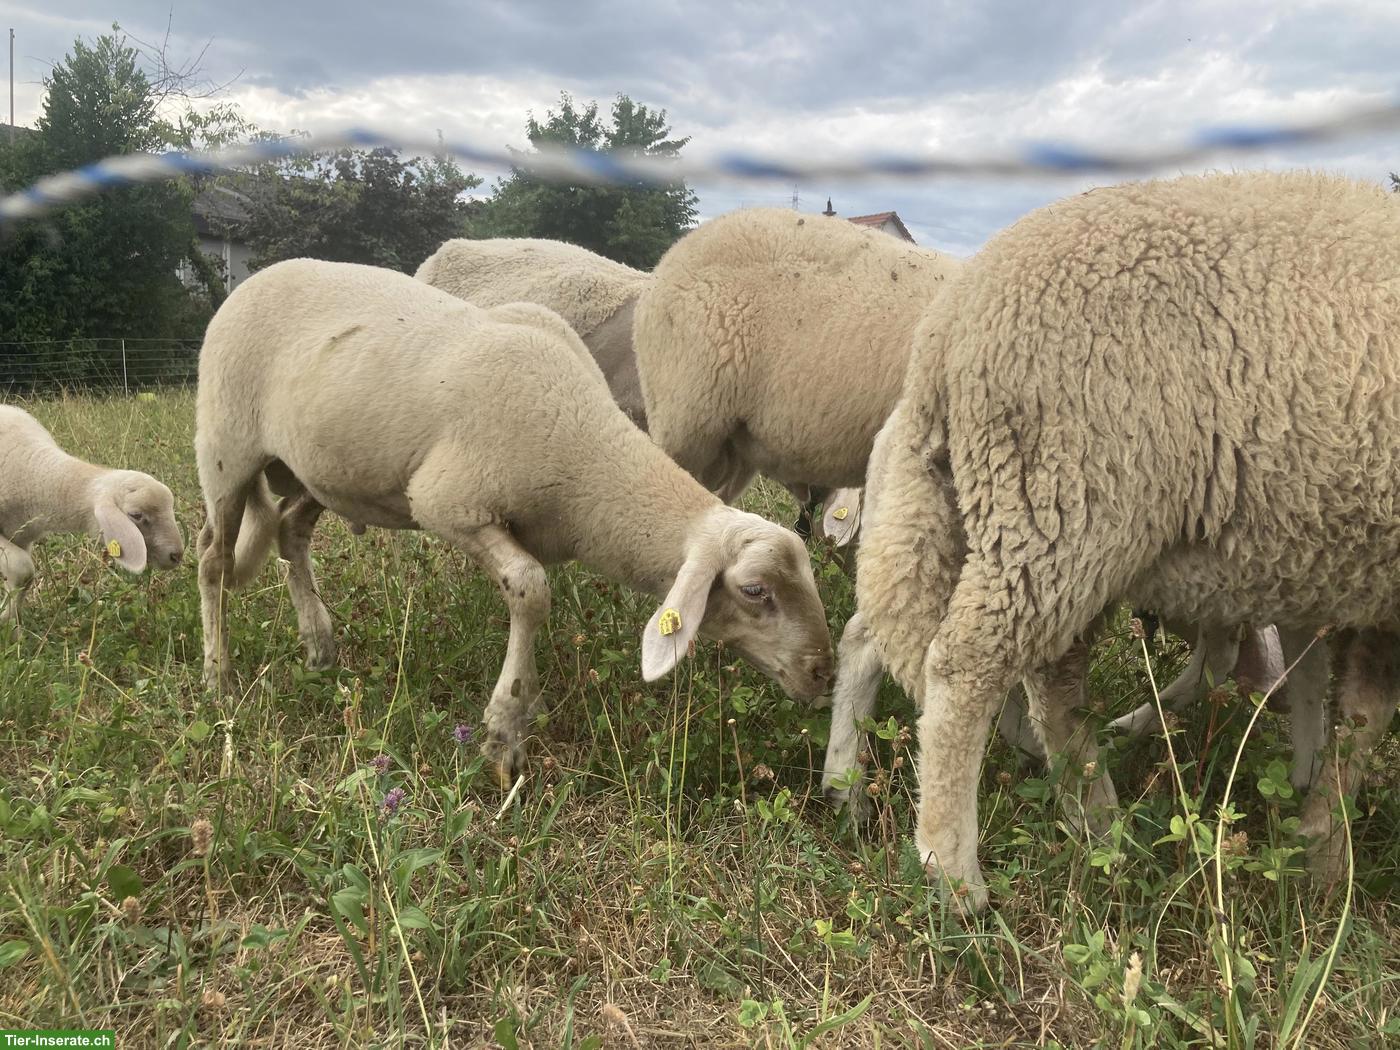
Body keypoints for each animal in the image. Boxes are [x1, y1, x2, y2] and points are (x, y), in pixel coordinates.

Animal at [0, 405, 184, 634]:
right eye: (136, 515)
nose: (176, 555)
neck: (34, 469)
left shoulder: (21, 535)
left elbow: (19, 581)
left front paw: (12, 630)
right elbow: (23, 569)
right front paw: (6, 623)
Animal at [195, 259, 835, 783]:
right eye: (755, 591)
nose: (824, 674)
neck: (583, 456)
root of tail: (256, 277)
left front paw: (521, 713)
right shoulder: (447, 504)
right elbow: (530, 589)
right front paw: (505, 732)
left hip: (321, 473)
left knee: (290, 529)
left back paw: (318, 648)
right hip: (225, 448)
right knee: (213, 559)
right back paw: (218, 678)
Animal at [853, 171, 1400, 908]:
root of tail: (950, 324)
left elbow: (1356, 707)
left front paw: (1316, 833)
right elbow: (1367, 719)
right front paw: (1328, 855)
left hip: (1047, 520)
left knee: (1052, 683)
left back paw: (1098, 822)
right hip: (1063, 497)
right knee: (968, 666)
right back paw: (956, 875)